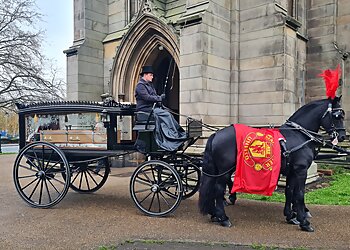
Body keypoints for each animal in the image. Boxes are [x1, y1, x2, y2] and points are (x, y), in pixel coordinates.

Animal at [198, 96, 346, 231]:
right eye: (337, 116)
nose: (343, 136)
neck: (298, 135)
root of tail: (216, 134)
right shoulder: (301, 171)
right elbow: (299, 194)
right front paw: (304, 221)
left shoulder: (291, 171)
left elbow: (289, 191)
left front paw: (290, 216)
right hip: (225, 170)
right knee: (218, 189)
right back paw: (223, 217)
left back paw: (215, 214)